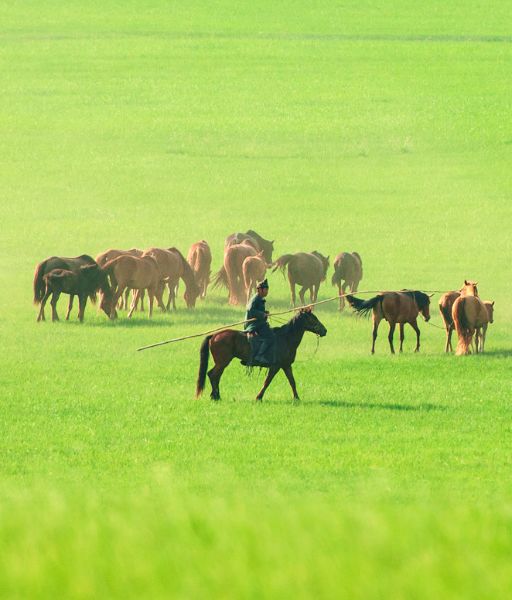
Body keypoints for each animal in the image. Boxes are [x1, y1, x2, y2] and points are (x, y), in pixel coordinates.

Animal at [196, 308, 328, 400]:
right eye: (313, 318)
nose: (324, 330)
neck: (285, 338)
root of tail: (214, 335)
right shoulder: (275, 367)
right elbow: (267, 382)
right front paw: (258, 397)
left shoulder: (286, 365)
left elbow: (292, 382)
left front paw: (297, 398)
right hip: (222, 362)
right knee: (213, 375)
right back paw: (215, 396)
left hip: (222, 363)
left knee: (215, 376)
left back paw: (216, 395)